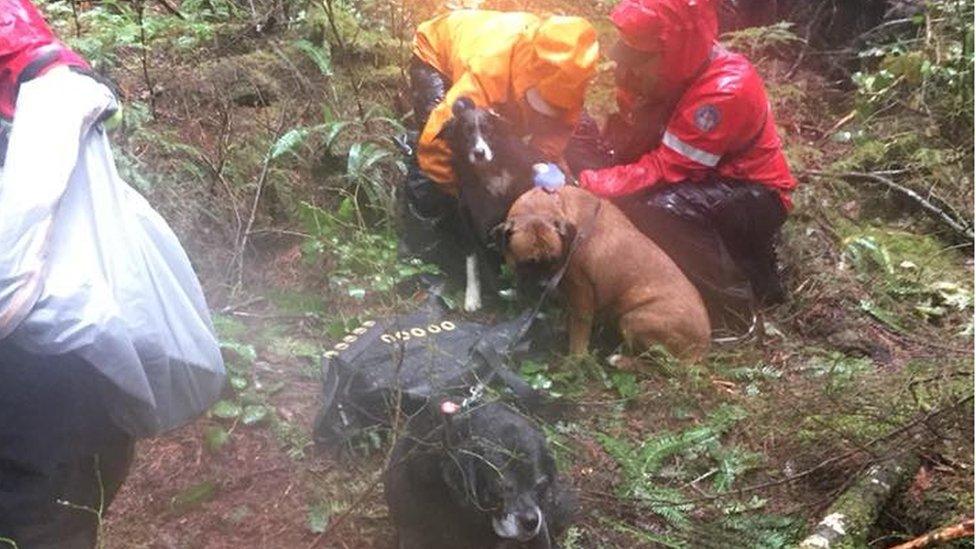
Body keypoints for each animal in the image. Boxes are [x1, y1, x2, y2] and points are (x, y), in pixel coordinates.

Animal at [440, 97, 540, 310]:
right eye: (466, 132)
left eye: (488, 130)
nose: (479, 152)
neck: (487, 172)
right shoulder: (467, 220)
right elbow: (472, 262)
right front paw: (472, 296)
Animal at [504, 186, 708, 362]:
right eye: (526, 263)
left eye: (555, 259)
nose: (544, 286)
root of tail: (702, 346)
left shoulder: (581, 293)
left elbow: (579, 332)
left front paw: (575, 360)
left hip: (633, 320)